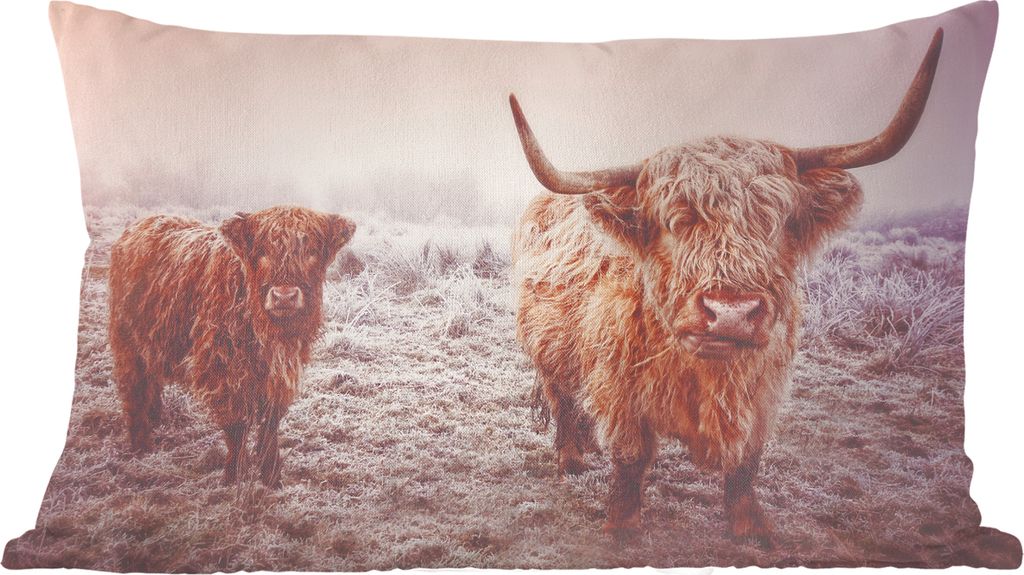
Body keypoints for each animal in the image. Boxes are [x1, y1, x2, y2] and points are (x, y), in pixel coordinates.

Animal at [108, 206, 356, 487]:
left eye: (311, 251)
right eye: (262, 252)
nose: (284, 296)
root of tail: (143, 223)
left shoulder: (280, 372)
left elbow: (270, 422)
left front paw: (272, 476)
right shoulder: (222, 369)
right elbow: (236, 425)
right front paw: (233, 476)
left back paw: (156, 419)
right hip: (128, 342)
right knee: (135, 388)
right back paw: (141, 446)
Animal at [510, 30, 943, 546]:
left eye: (777, 221)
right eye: (673, 222)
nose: (731, 312)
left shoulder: (762, 387)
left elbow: (746, 461)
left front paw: (750, 527)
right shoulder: (621, 383)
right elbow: (631, 456)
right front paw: (623, 525)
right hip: (550, 347)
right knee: (563, 400)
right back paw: (572, 459)